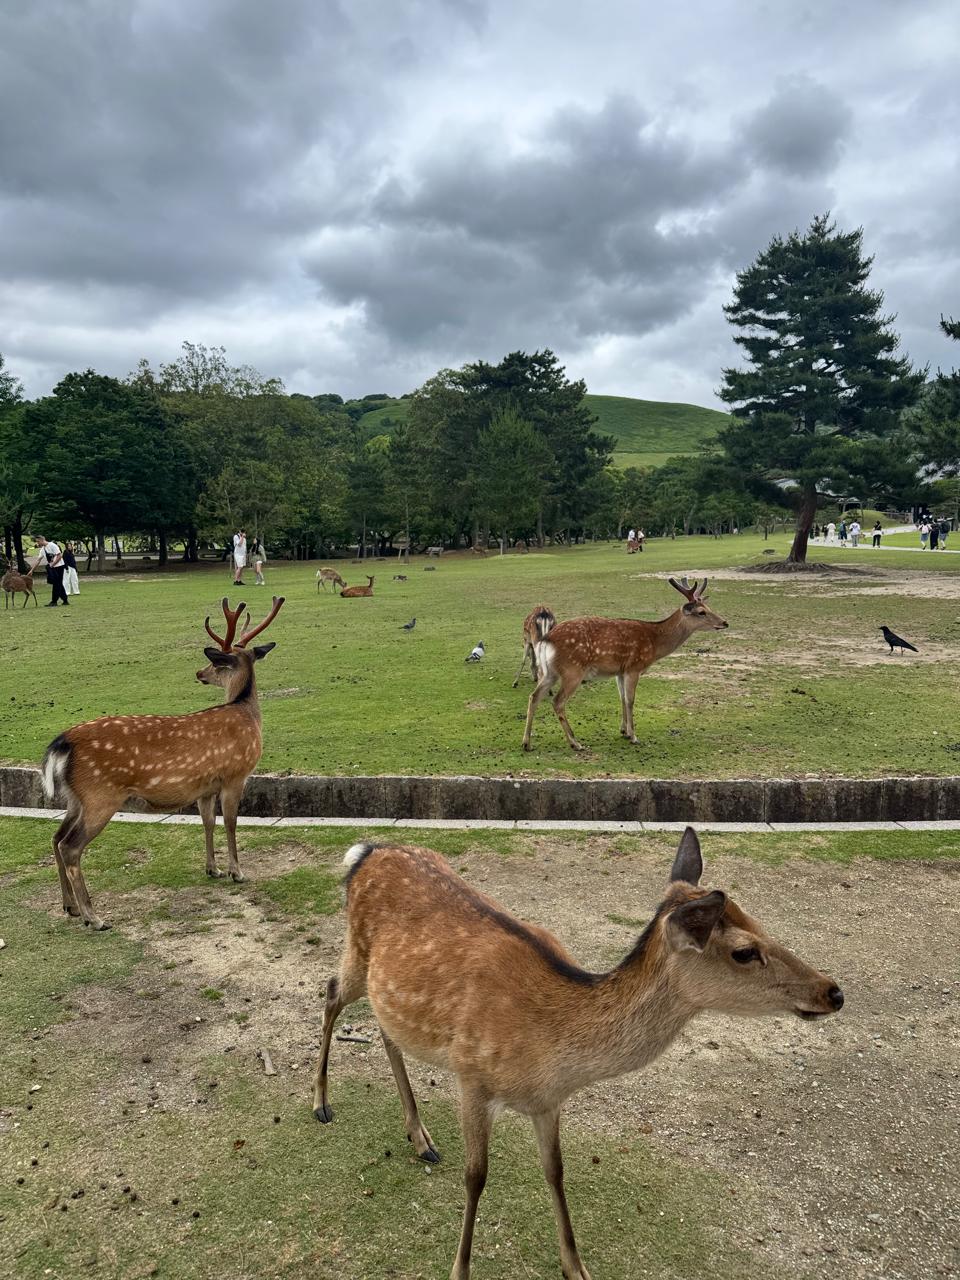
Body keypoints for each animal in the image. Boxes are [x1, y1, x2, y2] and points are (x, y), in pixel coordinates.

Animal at [40, 596, 284, 931]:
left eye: (216, 664)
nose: (199, 672)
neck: (246, 712)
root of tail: (62, 743)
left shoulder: (206, 786)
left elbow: (208, 822)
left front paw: (213, 869)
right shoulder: (236, 775)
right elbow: (231, 823)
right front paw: (237, 872)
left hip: (76, 798)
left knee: (55, 838)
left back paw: (70, 906)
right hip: (100, 796)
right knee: (71, 847)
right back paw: (94, 917)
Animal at [313, 827, 844, 1280]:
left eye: (759, 921)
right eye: (743, 951)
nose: (833, 992)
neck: (552, 1052)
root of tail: (365, 852)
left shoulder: (547, 1102)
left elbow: (556, 1171)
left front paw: (576, 1265)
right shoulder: (472, 1077)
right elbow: (476, 1176)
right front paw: (459, 1269)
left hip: (384, 985)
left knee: (384, 1029)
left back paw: (418, 1136)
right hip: (357, 952)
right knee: (332, 992)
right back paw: (321, 1103)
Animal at [522, 576, 728, 752]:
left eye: (708, 606)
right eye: (701, 612)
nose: (725, 622)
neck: (654, 643)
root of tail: (546, 640)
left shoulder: (619, 671)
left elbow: (621, 698)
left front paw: (624, 731)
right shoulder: (634, 667)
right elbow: (630, 700)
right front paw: (634, 736)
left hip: (550, 672)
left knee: (534, 696)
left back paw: (526, 743)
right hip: (572, 670)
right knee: (557, 701)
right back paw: (575, 742)